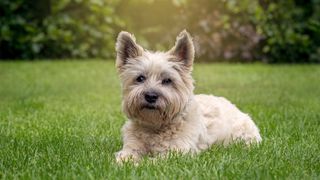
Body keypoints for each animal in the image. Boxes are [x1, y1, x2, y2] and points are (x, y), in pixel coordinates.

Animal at [114, 29, 262, 163]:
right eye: (140, 78)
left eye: (167, 80)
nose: (151, 96)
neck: (155, 126)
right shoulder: (132, 145)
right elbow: (126, 155)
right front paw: (125, 163)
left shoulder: (177, 151)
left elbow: (154, 161)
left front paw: (141, 163)